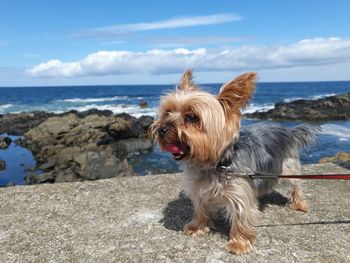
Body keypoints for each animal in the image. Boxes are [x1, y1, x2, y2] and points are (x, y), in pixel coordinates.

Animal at [149, 70, 318, 256]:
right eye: (168, 112)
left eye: (192, 117)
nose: (162, 129)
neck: (215, 164)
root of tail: (288, 130)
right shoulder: (198, 189)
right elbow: (200, 208)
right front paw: (197, 227)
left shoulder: (239, 190)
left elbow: (242, 215)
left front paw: (240, 243)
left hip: (288, 166)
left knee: (296, 185)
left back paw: (299, 204)